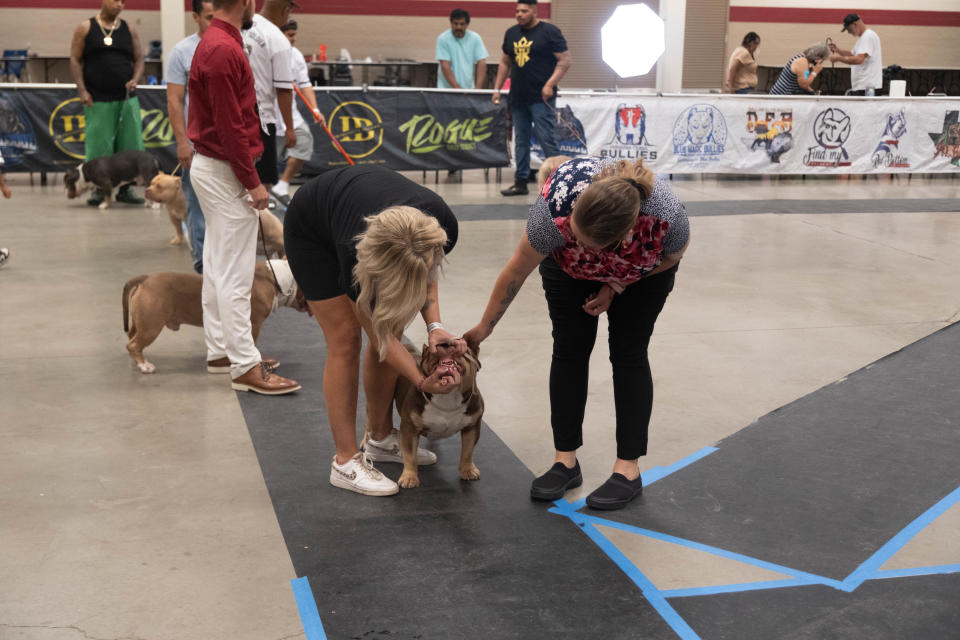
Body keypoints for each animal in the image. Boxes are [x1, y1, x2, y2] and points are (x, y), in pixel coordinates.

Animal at [121, 258, 308, 372]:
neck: (276, 278)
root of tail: (145, 279)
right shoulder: (253, 324)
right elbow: (251, 343)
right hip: (151, 327)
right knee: (133, 344)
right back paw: (144, 366)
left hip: (140, 323)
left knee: (131, 338)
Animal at [392, 344, 484, 490]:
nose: (446, 344)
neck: (448, 396)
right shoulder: (409, 428)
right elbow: (410, 455)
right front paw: (409, 477)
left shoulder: (472, 427)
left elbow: (468, 450)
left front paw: (468, 470)